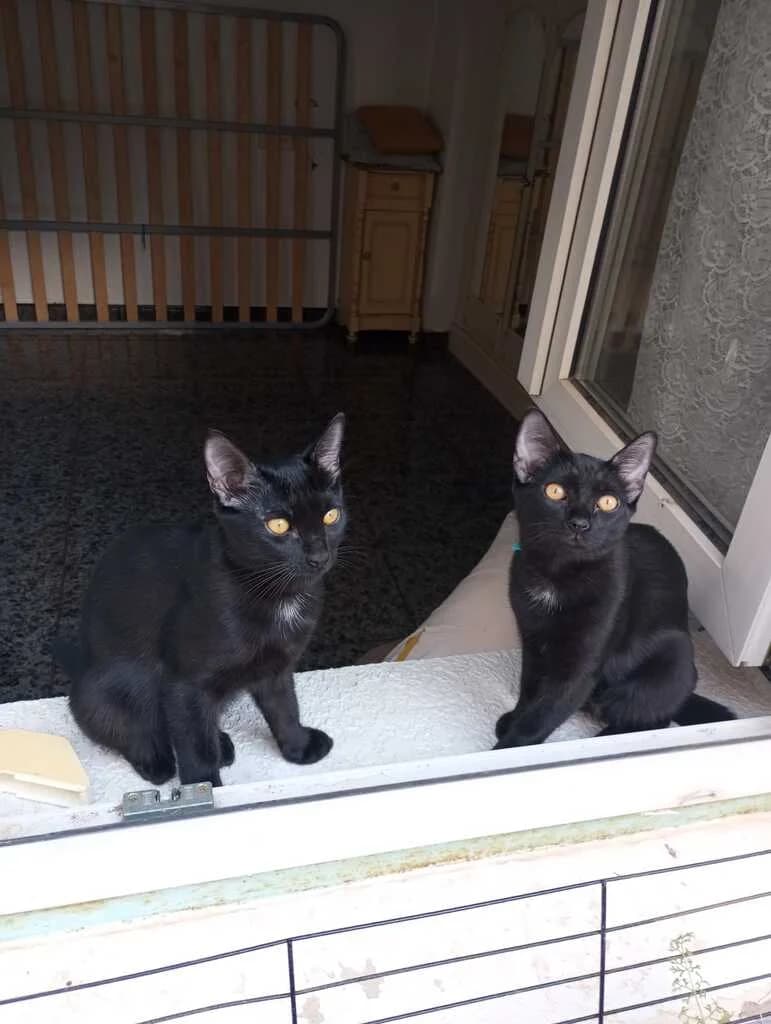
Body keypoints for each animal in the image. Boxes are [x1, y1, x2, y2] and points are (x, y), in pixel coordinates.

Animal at [54, 414, 347, 787]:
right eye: (278, 525)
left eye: (331, 516)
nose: (319, 556)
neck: (277, 595)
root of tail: (80, 666)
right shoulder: (184, 684)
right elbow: (195, 749)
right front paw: (204, 788)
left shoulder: (276, 666)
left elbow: (284, 707)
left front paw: (298, 747)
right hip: (110, 688)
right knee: (124, 725)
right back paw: (156, 759)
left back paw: (221, 743)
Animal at [494, 409, 733, 749]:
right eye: (554, 491)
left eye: (608, 502)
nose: (580, 523)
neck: (559, 575)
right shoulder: (532, 639)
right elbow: (530, 687)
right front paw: (514, 718)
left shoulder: (583, 663)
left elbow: (546, 710)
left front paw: (510, 746)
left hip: (669, 662)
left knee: (651, 719)